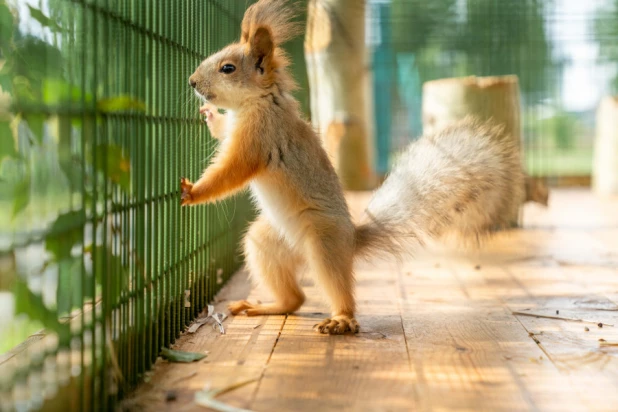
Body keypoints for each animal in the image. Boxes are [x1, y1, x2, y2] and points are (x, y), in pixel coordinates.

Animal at [180, 0, 524, 334]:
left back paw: (342, 320)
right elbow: (223, 132)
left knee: (335, 286)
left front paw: (192, 192)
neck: (260, 101)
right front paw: (211, 116)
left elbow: (231, 172)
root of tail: (350, 241)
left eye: (228, 68)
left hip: (323, 243)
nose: (192, 81)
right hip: (267, 242)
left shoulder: (259, 137)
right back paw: (265, 306)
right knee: (295, 298)